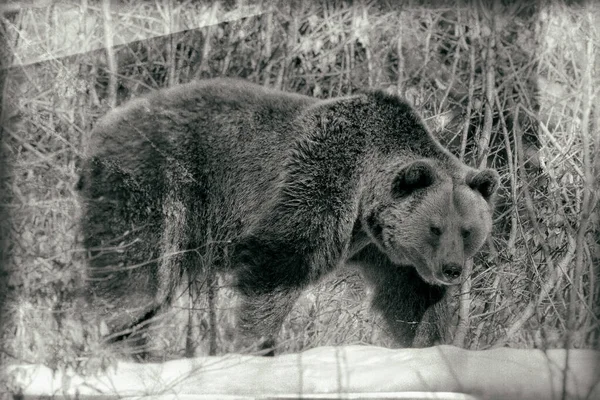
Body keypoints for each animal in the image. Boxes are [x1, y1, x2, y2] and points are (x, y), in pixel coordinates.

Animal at [77, 79, 500, 356]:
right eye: (434, 227)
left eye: (467, 230)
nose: (451, 269)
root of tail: (101, 126)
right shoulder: (320, 182)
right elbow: (277, 266)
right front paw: (254, 345)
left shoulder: (387, 253)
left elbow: (412, 303)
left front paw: (434, 347)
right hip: (161, 185)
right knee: (137, 271)